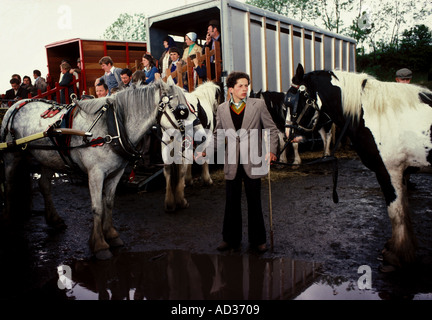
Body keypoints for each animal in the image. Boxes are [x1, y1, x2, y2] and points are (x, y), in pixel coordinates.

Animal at [288, 63, 432, 268]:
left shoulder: (389, 171)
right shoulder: (402, 173)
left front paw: (396, 254)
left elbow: (396, 212)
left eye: (294, 101)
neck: (376, 114)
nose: (291, 136)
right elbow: (404, 211)